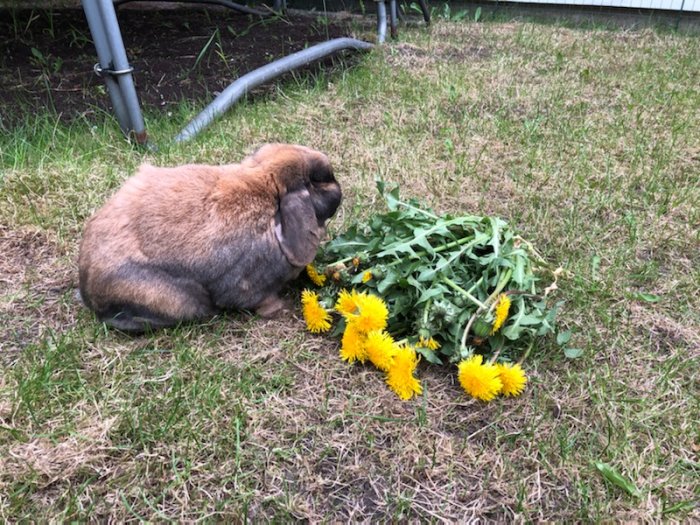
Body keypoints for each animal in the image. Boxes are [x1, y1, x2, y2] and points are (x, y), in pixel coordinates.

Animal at [79, 143, 342, 332]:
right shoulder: (248, 286)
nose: (339, 189)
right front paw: (282, 308)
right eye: (318, 181)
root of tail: (88, 289)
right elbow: (260, 300)